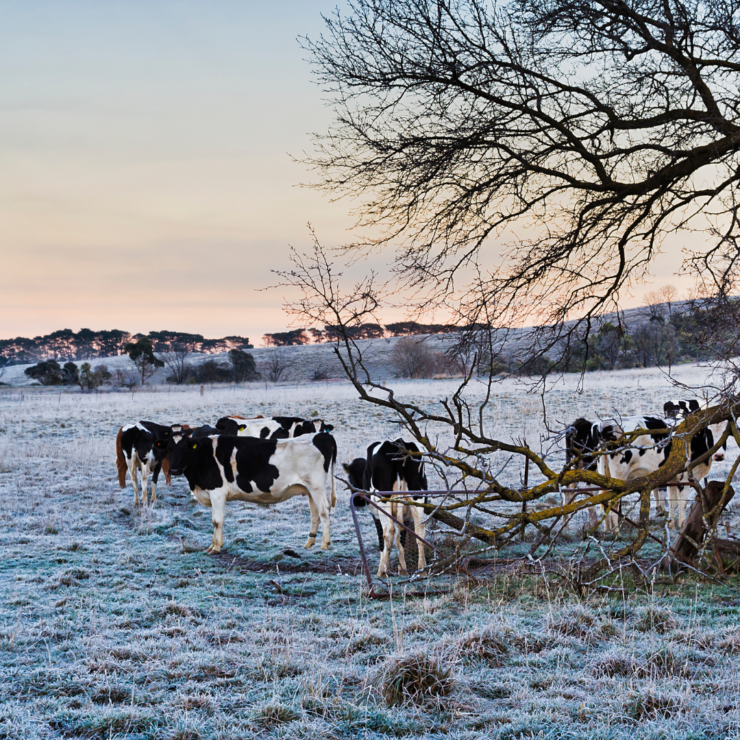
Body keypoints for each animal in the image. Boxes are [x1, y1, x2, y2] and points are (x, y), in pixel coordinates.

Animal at [160, 430, 340, 552]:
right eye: (169, 449)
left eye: (185, 449)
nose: (174, 470)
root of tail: (321, 435)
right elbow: (214, 521)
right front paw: (212, 545)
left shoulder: (217, 493)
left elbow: (217, 521)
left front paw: (216, 547)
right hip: (309, 489)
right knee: (315, 514)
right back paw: (310, 542)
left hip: (316, 487)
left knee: (324, 510)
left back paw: (325, 544)